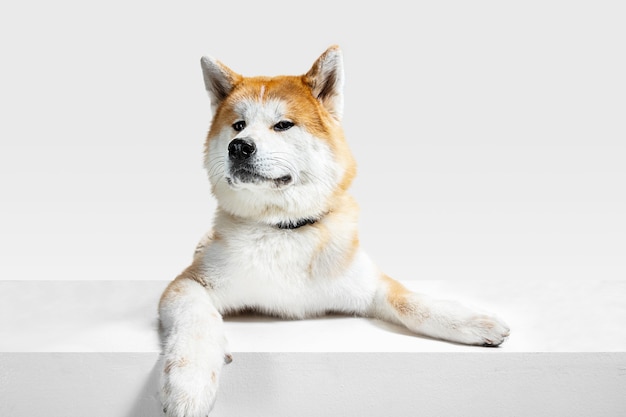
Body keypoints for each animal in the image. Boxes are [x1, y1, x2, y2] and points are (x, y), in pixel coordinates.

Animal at [158, 45, 510, 416]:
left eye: (283, 125)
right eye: (238, 125)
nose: (239, 146)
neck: (285, 229)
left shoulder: (368, 284)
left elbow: (411, 302)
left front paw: (472, 321)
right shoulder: (189, 284)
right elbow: (198, 322)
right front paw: (189, 383)